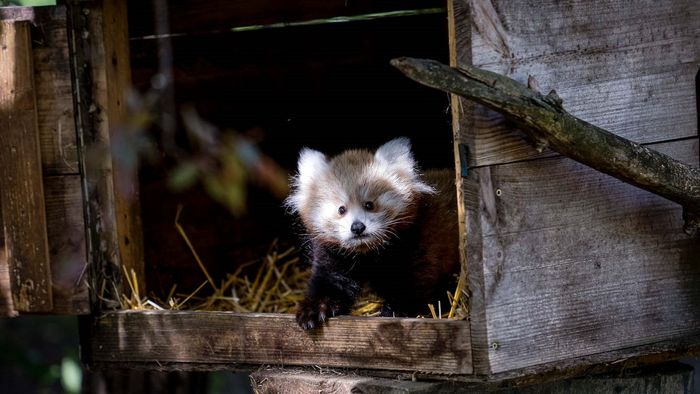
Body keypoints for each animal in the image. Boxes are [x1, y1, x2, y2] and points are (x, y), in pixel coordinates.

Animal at [284, 138, 460, 330]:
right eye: (341, 209)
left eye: (369, 205)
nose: (357, 227)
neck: (367, 255)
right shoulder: (333, 255)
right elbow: (330, 282)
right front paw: (312, 309)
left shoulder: (418, 246)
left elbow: (415, 284)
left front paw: (395, 310)